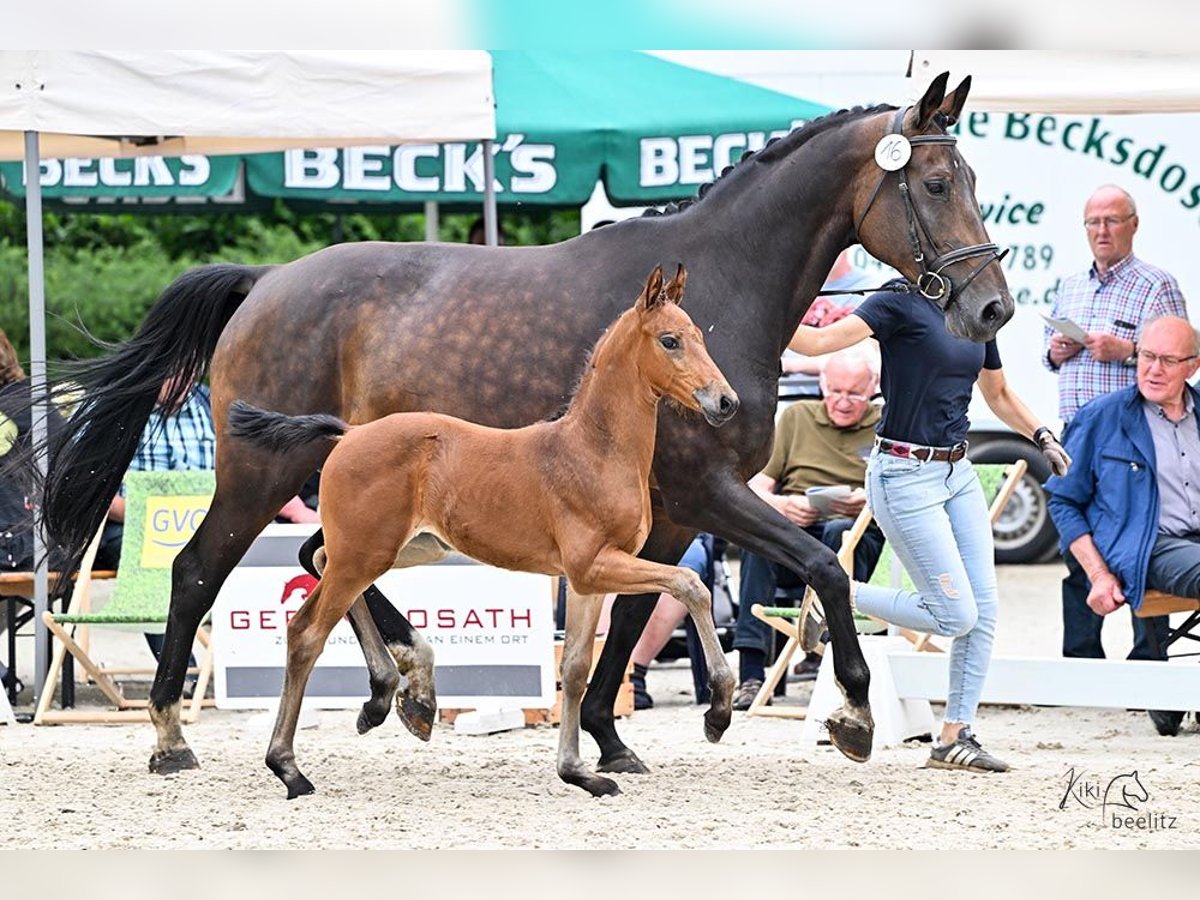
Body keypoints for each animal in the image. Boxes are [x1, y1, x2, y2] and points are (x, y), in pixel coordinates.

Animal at [226, 264, 739, 801]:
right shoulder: (594, 564)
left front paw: (579, 773)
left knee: (321, 562)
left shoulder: (586, 580)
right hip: (367, 552)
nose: (725, 401)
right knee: (306, 631)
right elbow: (692, 585)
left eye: (700, 337)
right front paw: (718, 713)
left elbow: (575, 669)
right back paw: (290, 767)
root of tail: (349, 434)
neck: (594, 450)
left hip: (402, 549)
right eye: (669, 341)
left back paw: (388, 698)